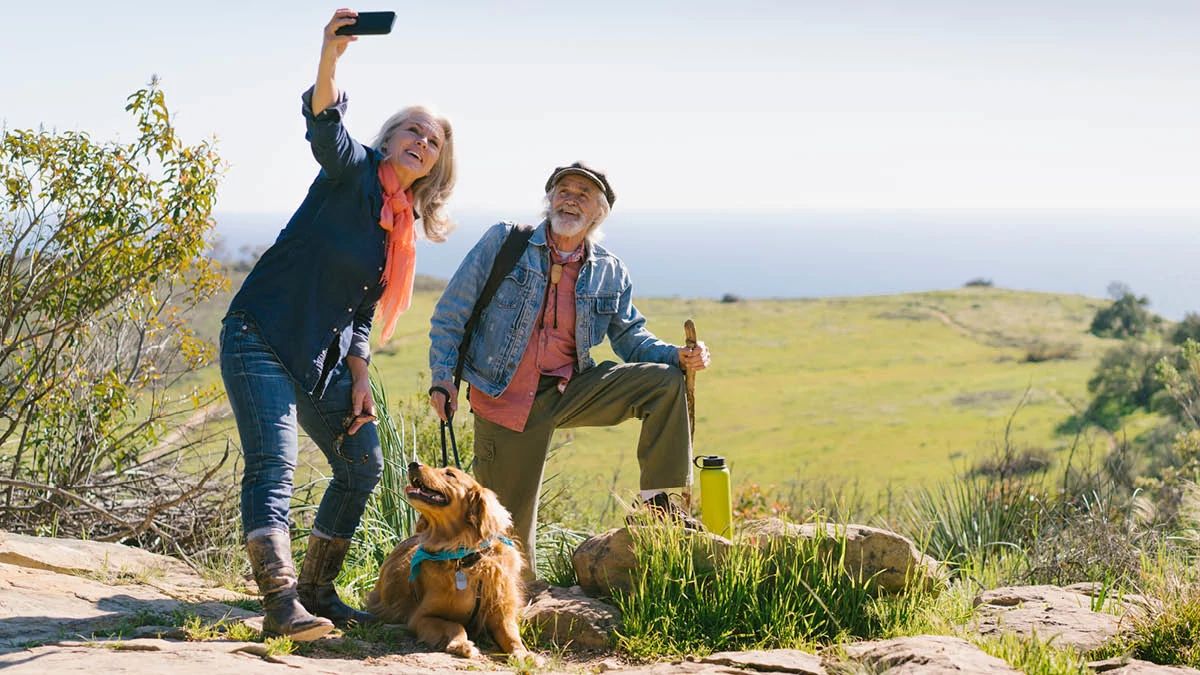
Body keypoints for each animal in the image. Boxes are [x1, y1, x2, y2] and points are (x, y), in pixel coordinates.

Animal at [364, 456, 535, 658]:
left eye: (450, 474)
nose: (413, 464)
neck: (465, 558)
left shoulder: (502, 615)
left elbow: (512, 636)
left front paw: (525, 654)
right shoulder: (421, 617)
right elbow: (455, 625)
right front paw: (461, 644)